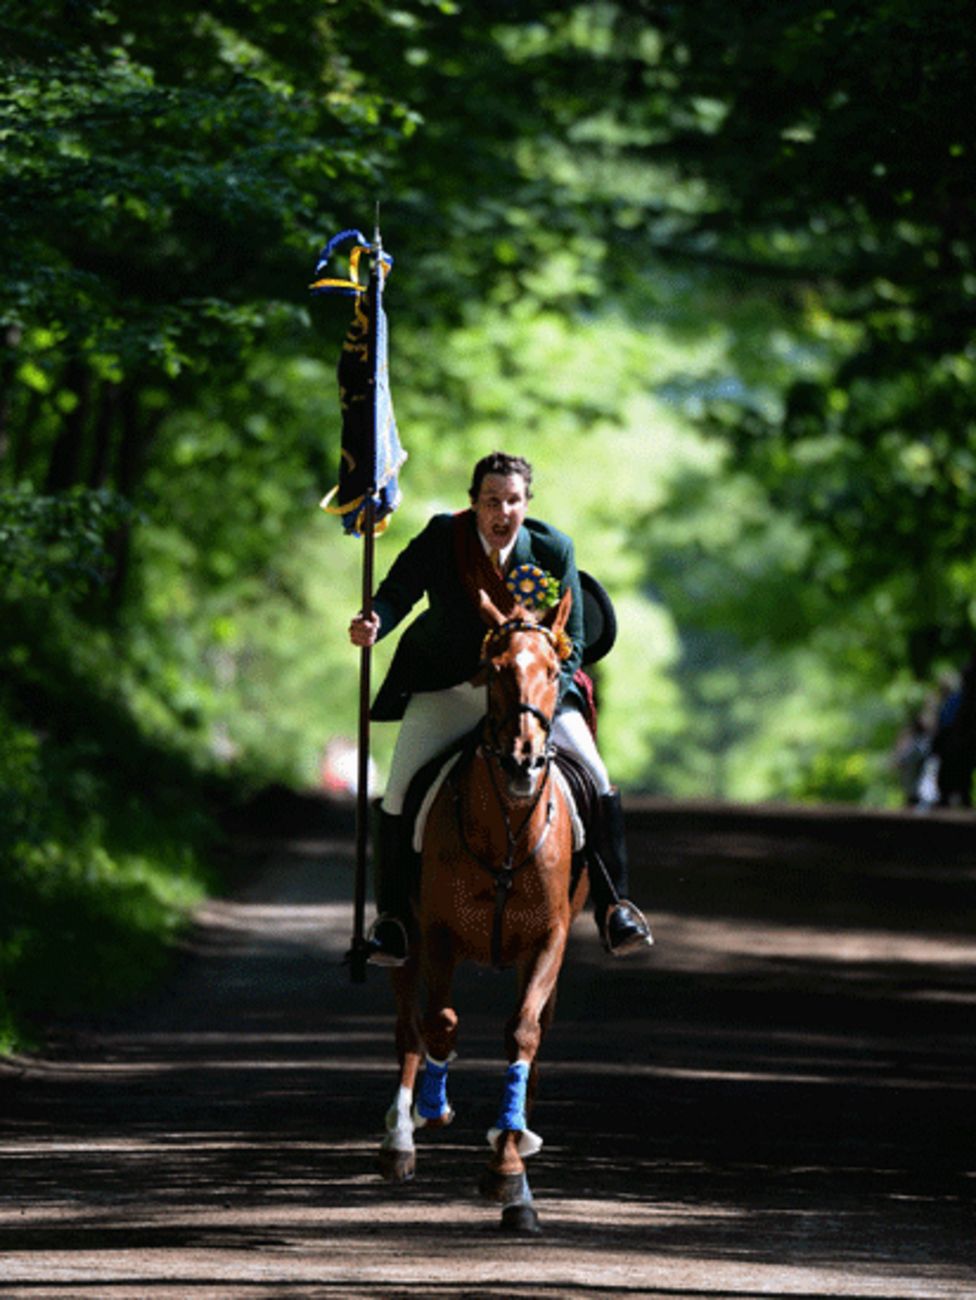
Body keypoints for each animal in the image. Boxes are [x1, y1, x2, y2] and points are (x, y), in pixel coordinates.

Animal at [376, 587, 584, 1227]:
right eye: (494, 671)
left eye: (554, 671)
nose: (522, 763)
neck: (508, 829)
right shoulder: (439, 932)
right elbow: (441, 1025)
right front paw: (434, 1108)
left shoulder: (547, 941)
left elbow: (523, 1033)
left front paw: (509, 1166)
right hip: (405, 941)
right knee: (408, 1029)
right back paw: (401, 1137)